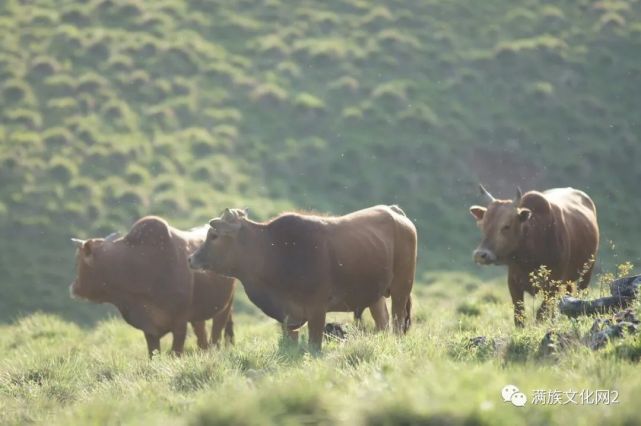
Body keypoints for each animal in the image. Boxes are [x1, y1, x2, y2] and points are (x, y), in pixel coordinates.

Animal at [70, 215, 235, 358]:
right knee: (203, 340)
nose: (73, 288)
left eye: (79, 260)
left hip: (224, 308)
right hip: (198, 317)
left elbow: (175, 353)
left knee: (216, 337)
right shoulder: (150, 330)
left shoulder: (180, 325)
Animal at [186, 206, 416, 350]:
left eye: (214, 236)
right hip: (376, 296)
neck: (275, 252)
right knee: (384, 322)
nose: (191, 259)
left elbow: (314, 344)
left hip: (401, 288)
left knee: (397, 323)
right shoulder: (288, 319)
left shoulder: (317, 310)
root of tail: (394, 211)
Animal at [468, 185, 596, 328]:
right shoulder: (514, 283)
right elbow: (519, 316)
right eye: (483, 225)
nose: (480, 255)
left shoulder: (553, 284)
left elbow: (541, 314)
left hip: (586, 273)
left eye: (507, 226)